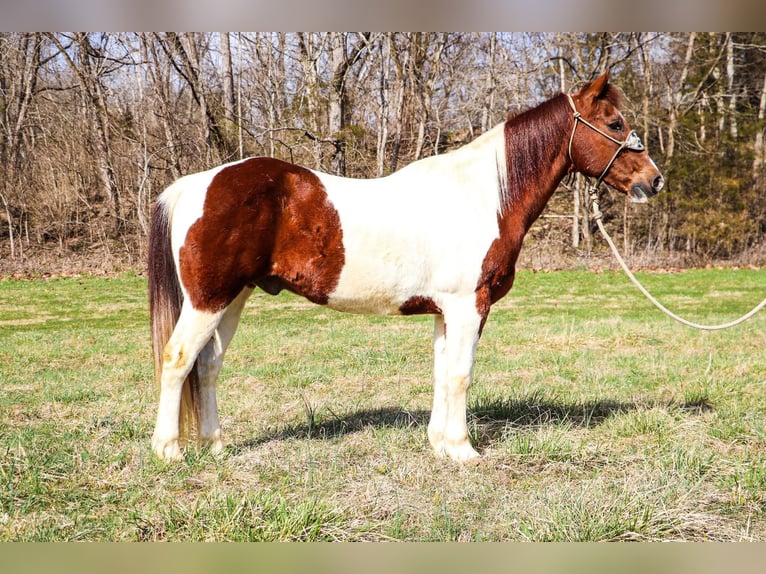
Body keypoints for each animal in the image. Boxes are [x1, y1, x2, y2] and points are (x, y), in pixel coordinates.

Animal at [148, 73, 664, 468]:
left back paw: (215, 446)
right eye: (614, 123)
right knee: (177, 359)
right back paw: (169, 451)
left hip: (233, 297)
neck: (484, 196)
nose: (654, 180)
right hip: (208, 300)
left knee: (207, 365)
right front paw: (463, 450)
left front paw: (440, 445)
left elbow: (442, 372)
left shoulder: (444, 311)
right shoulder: (468, 306)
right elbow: (460, 374)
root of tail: (193, 185)